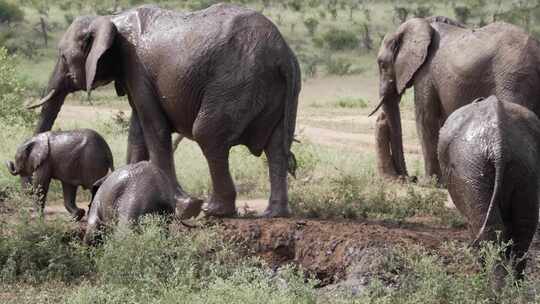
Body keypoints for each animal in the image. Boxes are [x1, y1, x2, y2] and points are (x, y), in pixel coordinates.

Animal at [26, 2, 300, 218]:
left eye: (63, 57)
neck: (111, 18)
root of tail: (283, 54)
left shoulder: (136, 66)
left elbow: (154, 127)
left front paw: (183, 207)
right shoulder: (133, 73)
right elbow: (138, 131)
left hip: (236, 83)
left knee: (208, 135)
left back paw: (214, 211)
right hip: (274, 88)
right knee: (276, 148)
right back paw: (273, 214)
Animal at [374, 16, 540, 180]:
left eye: (382, 65)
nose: (410, 178)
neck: (424, 23)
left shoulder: (426, 73)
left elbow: (425, 118)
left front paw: (429, 182)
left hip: (514, 77)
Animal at [438, 96, 540, 276]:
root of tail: (499, 143)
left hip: (471, 165)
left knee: (487, 226)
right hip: (525, 163)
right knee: (524, 224)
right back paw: (513, 283)